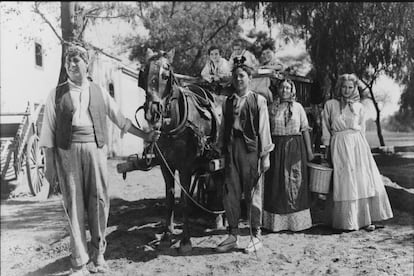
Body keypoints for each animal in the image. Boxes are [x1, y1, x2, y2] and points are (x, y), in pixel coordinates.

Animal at [137, 49, 225, 252]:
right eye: (143, 73)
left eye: (165, 75)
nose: (152, 113)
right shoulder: (166, 166)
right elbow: (170, 199)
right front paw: (166, 236)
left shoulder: (185, 167)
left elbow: (185, 200)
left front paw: (185, 240)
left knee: (220, 185)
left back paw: (219, 218)